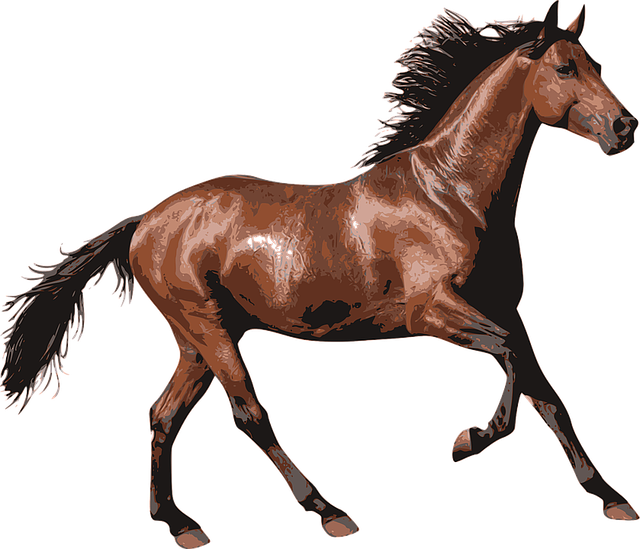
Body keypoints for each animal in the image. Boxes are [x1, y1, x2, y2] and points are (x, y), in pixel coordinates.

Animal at [2, 2, 638, 546]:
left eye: (599, 65)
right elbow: (507, 360)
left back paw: (179, 524)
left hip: (198, 340)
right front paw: (467, 441)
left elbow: (546, 393)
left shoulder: (507, 309)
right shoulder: (433, 311)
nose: (624, 127)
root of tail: (145, 222)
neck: (449, 195)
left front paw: (612, 499)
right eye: (564, 67)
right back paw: (330, 513)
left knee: (164, 416)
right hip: (208, 329)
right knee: (248, 414)